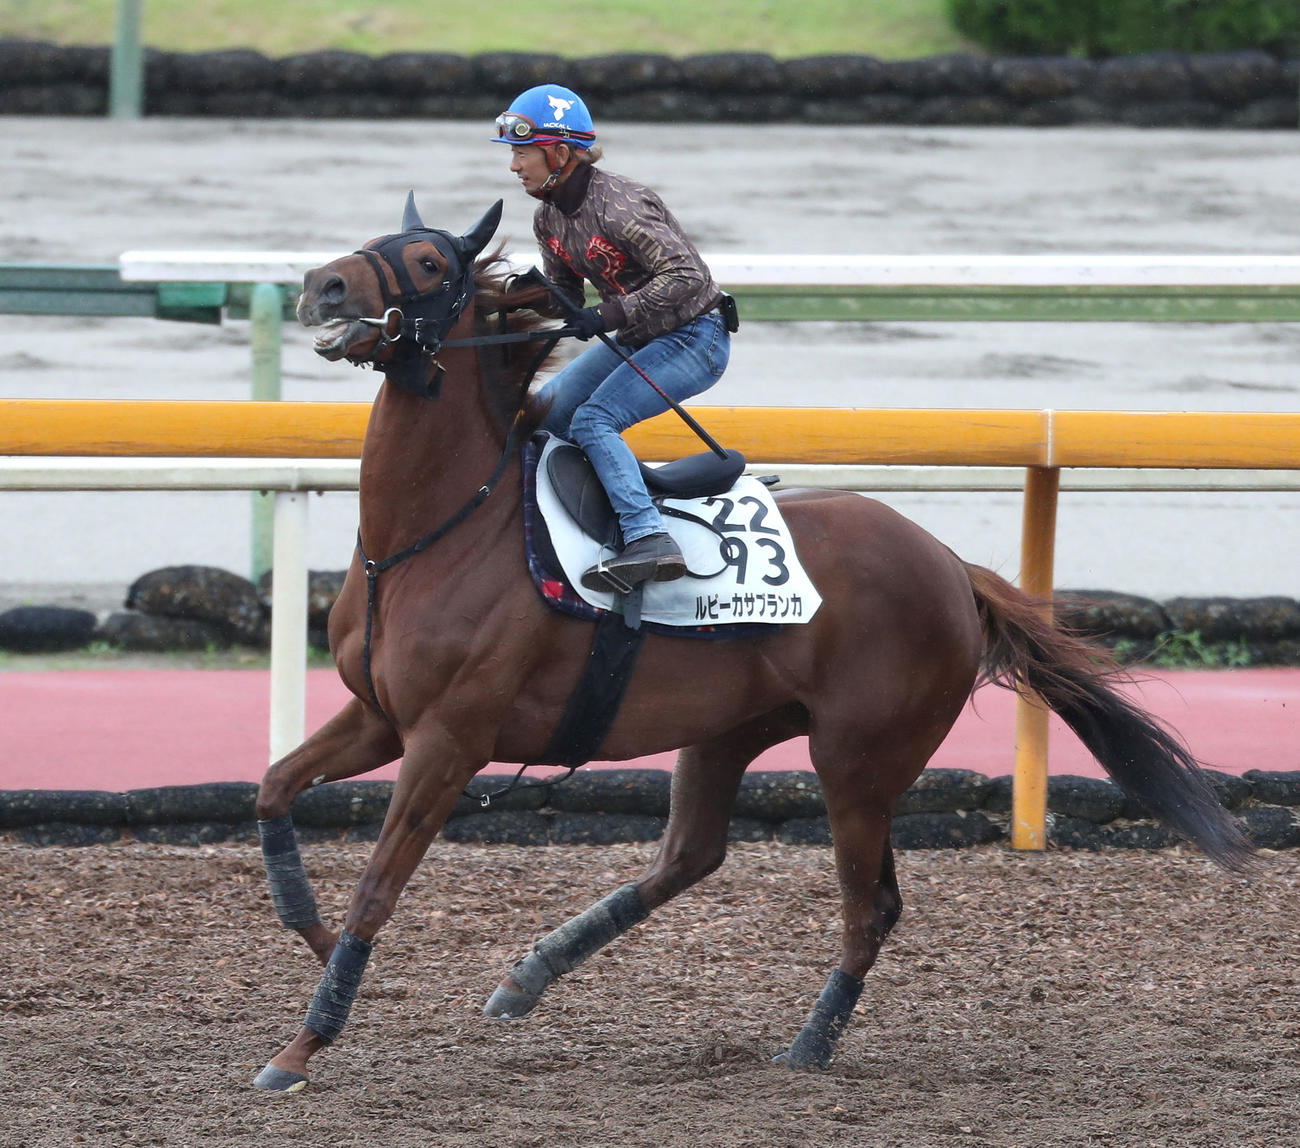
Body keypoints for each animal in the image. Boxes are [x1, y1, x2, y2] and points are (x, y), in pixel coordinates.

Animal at [250, 194, 1252, 1092]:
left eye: (426, 262)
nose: (321, 285)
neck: (438, 530)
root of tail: (950, 564)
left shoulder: (449, 740)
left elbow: (378, 884)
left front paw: (300, 1049)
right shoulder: (382, 718)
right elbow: (273, 789)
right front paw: (314, 936)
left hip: (858, 759)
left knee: (867, 907)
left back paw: (809, 1046)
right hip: (729, 730)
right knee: (692, 855)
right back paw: (529, 977)